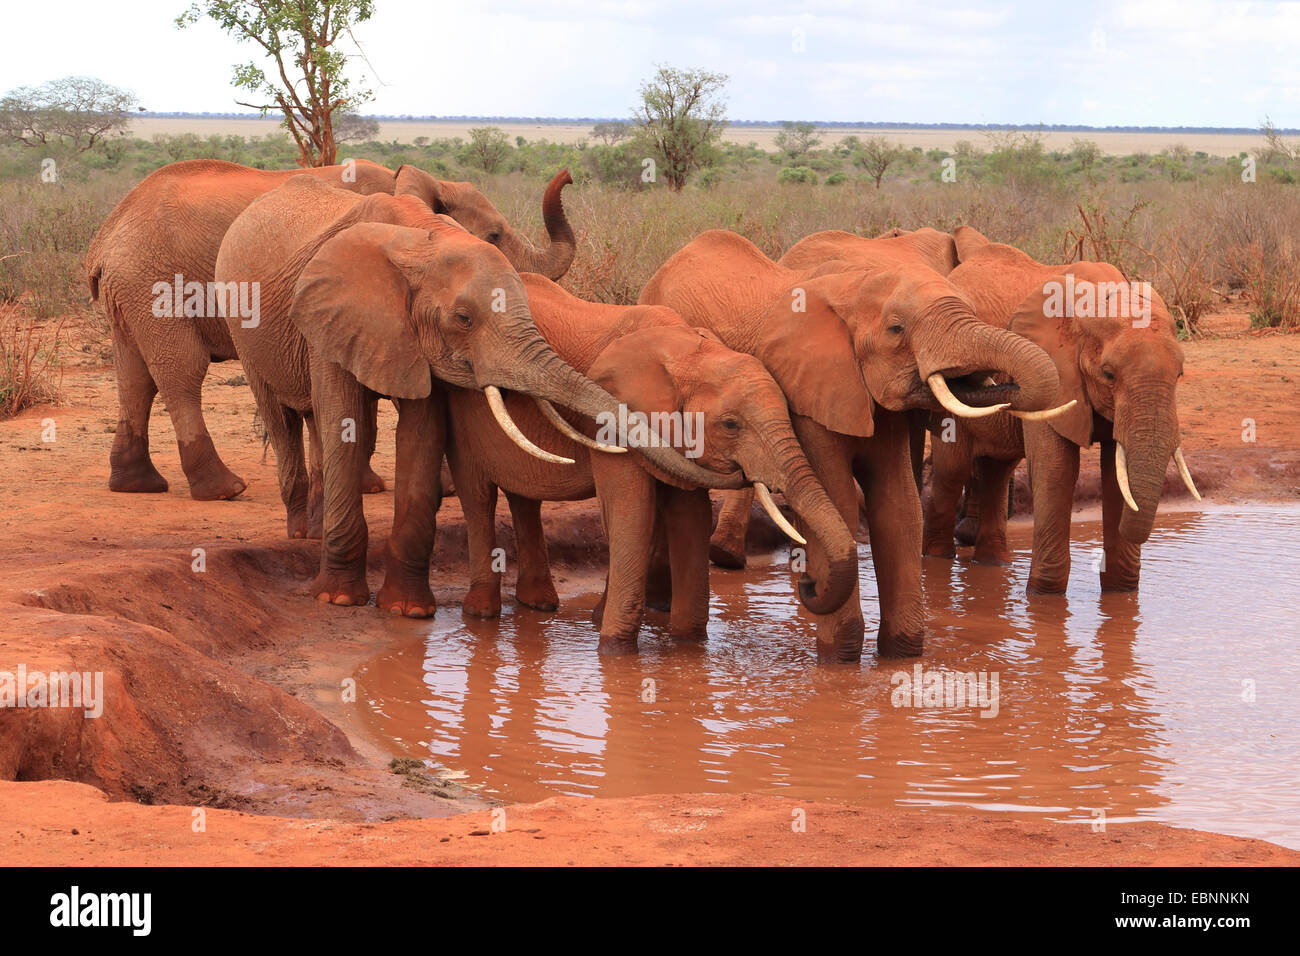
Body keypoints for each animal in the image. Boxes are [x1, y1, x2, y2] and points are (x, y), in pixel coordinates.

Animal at [84, 158, 575, 500]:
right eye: (493, 236)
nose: (568, 176)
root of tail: (106, 233)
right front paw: (387, 486)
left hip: (129, 286)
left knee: (134, 376)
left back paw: (137, 484)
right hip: (153, 279)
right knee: (181, 370)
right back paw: (224, 490)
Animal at [215, 176, 735, 617]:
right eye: (464, 319)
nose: (569, 175)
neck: (420, 237)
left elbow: (421, 435)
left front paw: (406, 610)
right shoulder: (334, 313)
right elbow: (347, 421)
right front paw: (339, 600)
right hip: (240, 317)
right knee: (282, 416)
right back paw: (302, 532)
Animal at [444, 274, 857, 651]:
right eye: (731, 425)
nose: (808, 584)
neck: (686, 351)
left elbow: (690, 516)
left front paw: (688, 646)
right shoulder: (616, 417)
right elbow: (632, 509)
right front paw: (614, 648)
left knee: (522, 496)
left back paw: (539, 604)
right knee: (477, 495)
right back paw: (482, 612)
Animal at [639, 229, 1067, 661]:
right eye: (896, 329)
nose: (809, 588)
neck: (854, 289)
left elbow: (899, 505)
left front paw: (901, 654)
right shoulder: (810, 395)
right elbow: (840, 498)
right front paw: (839, 657)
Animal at [922, 226, 1201, 593]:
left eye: (1180, 374)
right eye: (1108, 375)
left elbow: (1116, 473)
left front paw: (1122, 595)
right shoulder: (1055, 367)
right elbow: (1057, 470)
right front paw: (1044, 597)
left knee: (998, 468)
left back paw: (994, 564)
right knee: (952, 469)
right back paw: (936, 563)